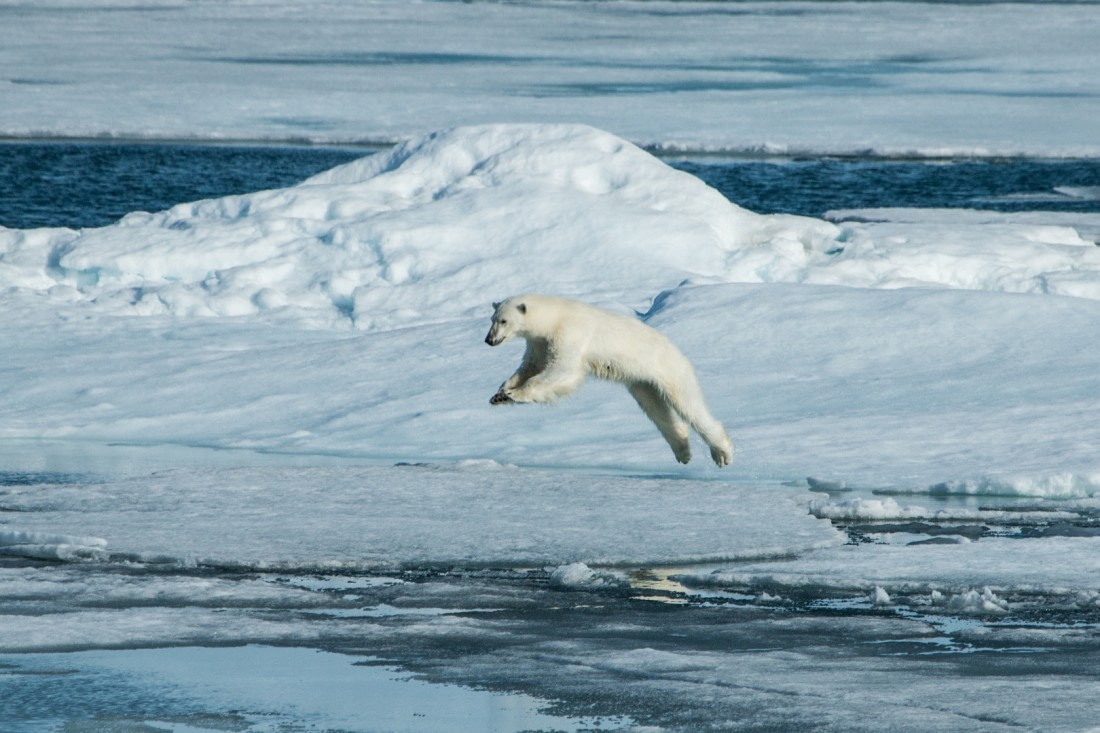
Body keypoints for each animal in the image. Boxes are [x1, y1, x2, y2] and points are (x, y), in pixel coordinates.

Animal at [485, 294, 733, 467]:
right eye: (492, 319)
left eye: (504, 321)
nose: (489, 340)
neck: (554, 317)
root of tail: (678, 351)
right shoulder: (539, 344)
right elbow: (529, 367)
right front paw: (500, 394)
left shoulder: (570, 335)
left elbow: (563, 370)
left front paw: (516, 393)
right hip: (642, 382)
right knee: (657, 409)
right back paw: (683, 452)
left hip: (669, 370)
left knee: (689, 405)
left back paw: (722, 453)